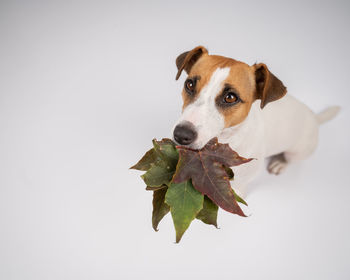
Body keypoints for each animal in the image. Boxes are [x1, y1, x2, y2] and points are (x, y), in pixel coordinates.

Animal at [172, 46, 340, 197]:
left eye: (230, 97)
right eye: (189, 84)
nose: (181, 135)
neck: (225, 138)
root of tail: (314, 117)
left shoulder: (248, 171)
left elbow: (239, 184)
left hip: (298, 151)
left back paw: (280, 163)